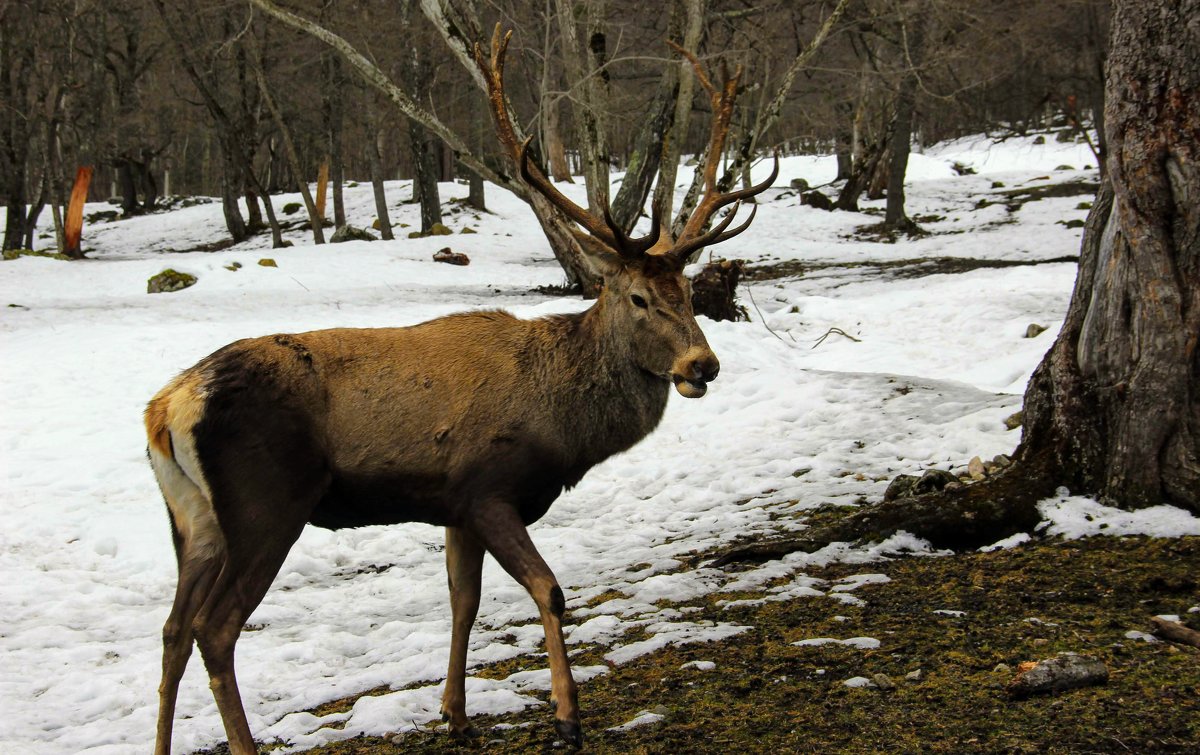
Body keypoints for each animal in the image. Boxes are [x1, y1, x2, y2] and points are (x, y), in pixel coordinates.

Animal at [145, 26, 777, 748]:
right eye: (639, 298)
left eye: (691, 293)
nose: (702, 365)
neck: (560, 423)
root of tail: (166, 408)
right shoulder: (487, 486)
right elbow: (549, 589)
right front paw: (566, 715)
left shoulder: (451, 505)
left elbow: (463, 601)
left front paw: (455, 711)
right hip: (267, 503)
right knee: (214, 629)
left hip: (193, 519)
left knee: (172, 629)